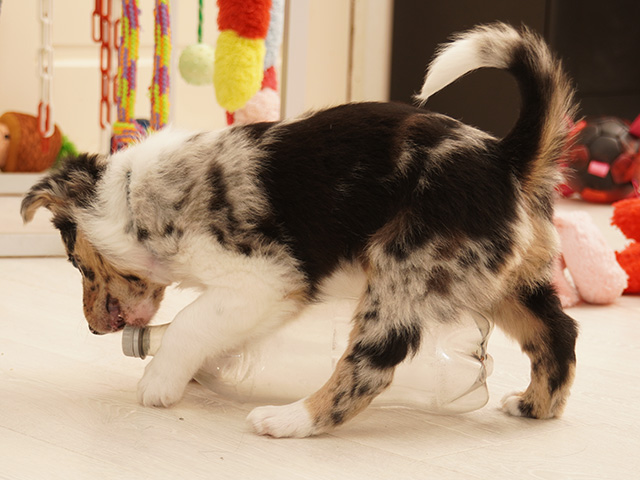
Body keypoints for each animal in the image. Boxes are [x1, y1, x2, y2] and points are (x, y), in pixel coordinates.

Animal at [22, 23, 578, 438]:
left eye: (77, 264)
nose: (92, 330)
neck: (134, 198)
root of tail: (506, 158)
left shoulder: (264, 278)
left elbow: (189, 323)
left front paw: (158, 382)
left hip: (406, 269)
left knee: (371, 365)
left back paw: (289, 419)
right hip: (507, 280)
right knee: (558, 331)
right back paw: (534, 406)